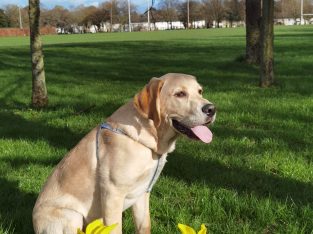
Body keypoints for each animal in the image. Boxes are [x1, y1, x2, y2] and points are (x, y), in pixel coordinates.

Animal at [33, 73, 214, 234]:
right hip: (71, 216)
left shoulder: (143, 193)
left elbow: (144, 226)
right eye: (180, 94)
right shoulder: (112, 194)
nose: (211, 109)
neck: (151, 141)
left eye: (200, 91)